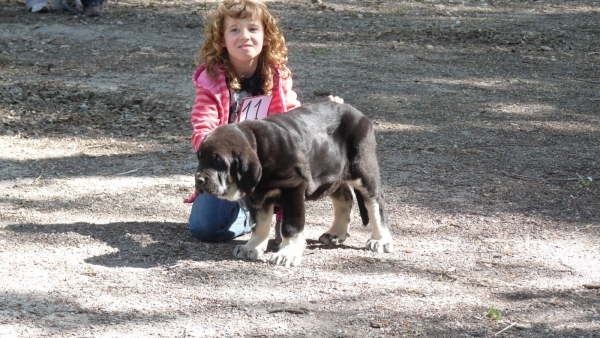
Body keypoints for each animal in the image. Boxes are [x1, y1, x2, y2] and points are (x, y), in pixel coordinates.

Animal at [193, 101, 394, 266]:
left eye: (218, 162)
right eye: (200, 158)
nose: (199, 179)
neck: (260, 151)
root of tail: (360, 115)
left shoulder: (293, 190)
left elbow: (290, 227)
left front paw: (287, 254)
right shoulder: (257, 197)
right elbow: (259, 224)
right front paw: (252, 247)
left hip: (363, 169)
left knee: (375, 202)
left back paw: (380, 239)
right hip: (331, 173)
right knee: (344, 197)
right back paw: (336, 233)